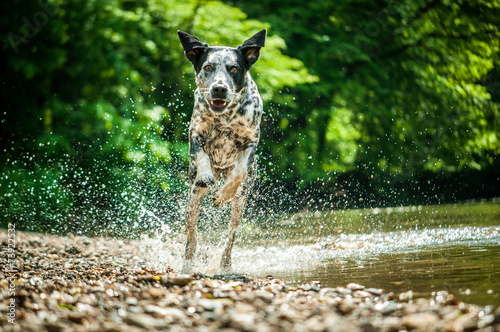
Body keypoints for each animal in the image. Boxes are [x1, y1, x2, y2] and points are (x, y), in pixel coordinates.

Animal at [179, 29, 268, 272]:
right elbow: (200, 154)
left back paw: (225, 265)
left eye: (234, 69)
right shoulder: (195, 131)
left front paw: (222, 194)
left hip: (241, 204)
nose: (219, 88)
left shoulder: (250, 142)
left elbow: (239, 172)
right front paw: (205, 174)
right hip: (192, 200)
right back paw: (188, 263)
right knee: (192, 234)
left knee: (231, 236)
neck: (226, 117)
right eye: (208, 67)